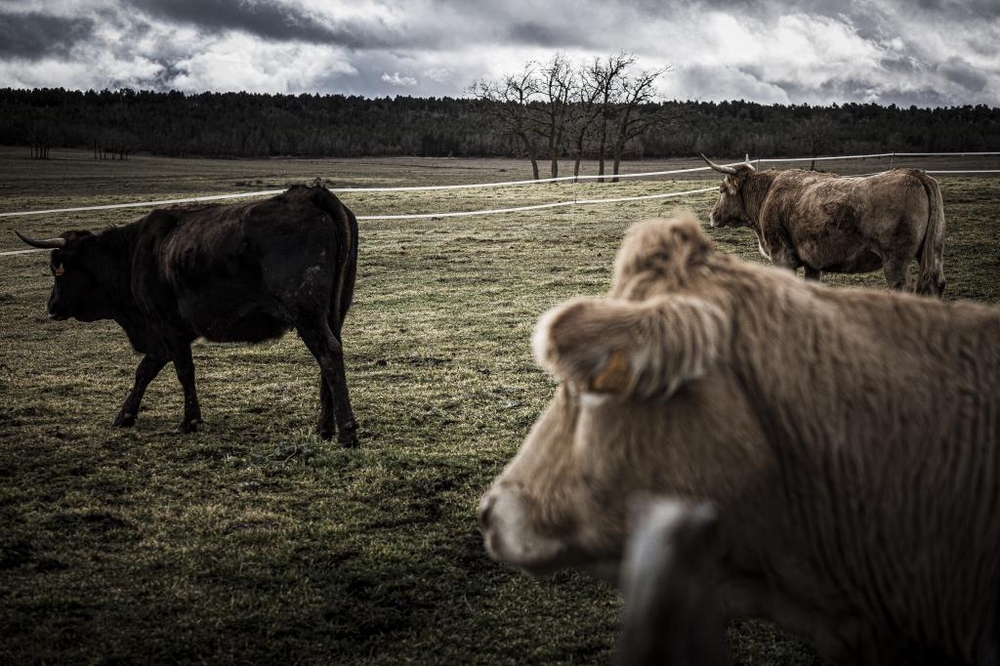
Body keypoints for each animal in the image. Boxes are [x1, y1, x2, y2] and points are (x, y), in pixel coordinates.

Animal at [17, 183, 360, 446]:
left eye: (57, 269)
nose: (50, 306)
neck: (134, 255)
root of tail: (310, 194)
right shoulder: (163, 334)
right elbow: (145, 370)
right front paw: (125, 415)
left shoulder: (168, 325)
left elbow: (183, 371)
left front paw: (189, 421)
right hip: (332, 313)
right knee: (329, 360)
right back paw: (324, 427)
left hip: (306, 314)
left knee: (328, 354)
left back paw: (346, 432)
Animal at [704, 156, 944, 296]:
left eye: (722, 190)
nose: (712, 216)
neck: (768, 193)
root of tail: (913, 173)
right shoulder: (813, 261)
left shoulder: (782, 256)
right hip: (932, 253)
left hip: (895, 261)